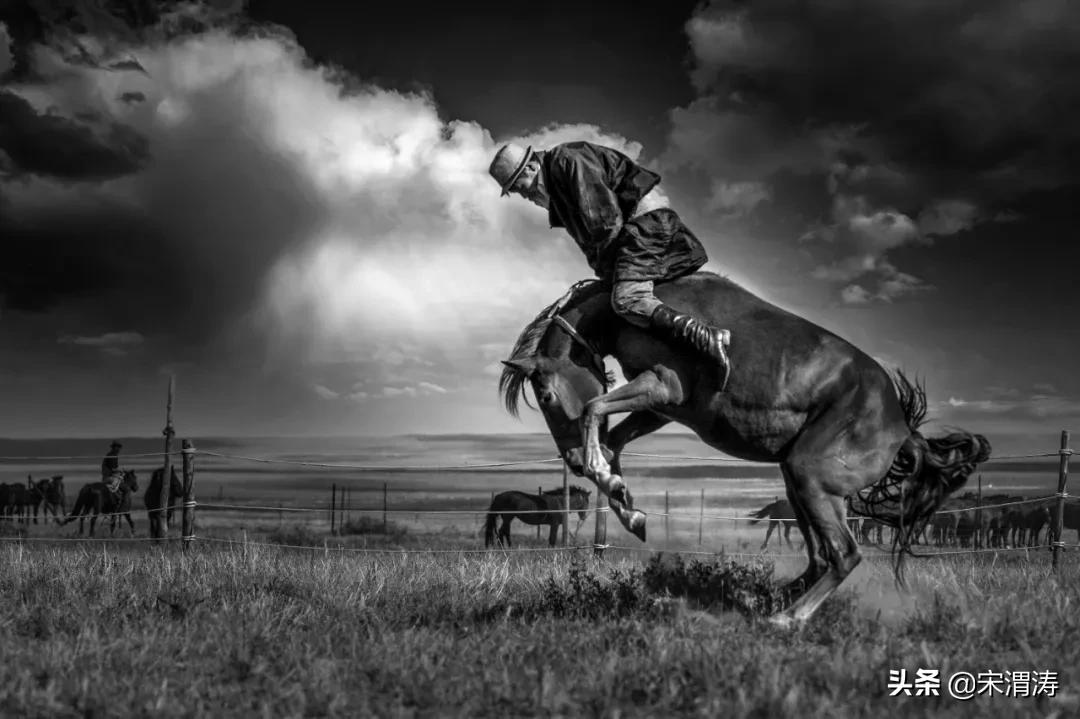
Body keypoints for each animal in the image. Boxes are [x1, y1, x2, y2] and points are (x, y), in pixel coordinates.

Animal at [498, 273, 990, 627]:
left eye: (546, 396)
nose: (572, 463)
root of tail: (902, 429)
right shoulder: (663, 407)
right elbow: (611, 437)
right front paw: (625, 502)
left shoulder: (662, 386)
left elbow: (592, 410)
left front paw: (610, 481)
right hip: (797, 485)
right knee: (819, 556)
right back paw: (767, 598)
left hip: (811, 478)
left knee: (844, 554)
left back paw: (787, 618)